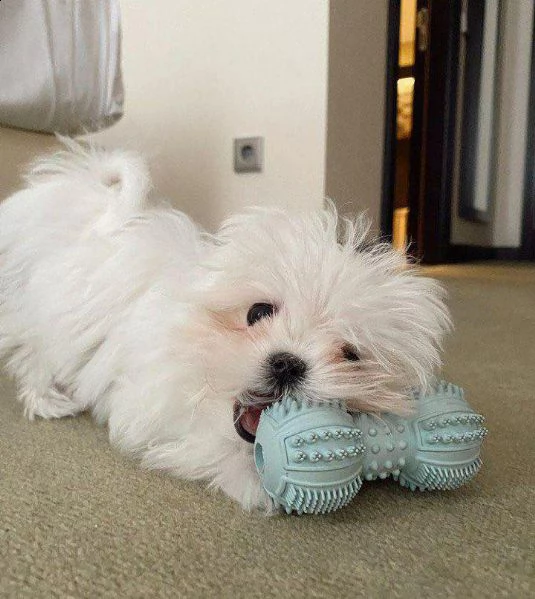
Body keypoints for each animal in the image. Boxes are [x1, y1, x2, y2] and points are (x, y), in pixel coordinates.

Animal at [0, 142, 452, 510]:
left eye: (351, 355)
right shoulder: (150, 400)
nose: (286, 363)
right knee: (34, 352)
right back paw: (46, 398)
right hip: (47, 311)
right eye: (257, 312)